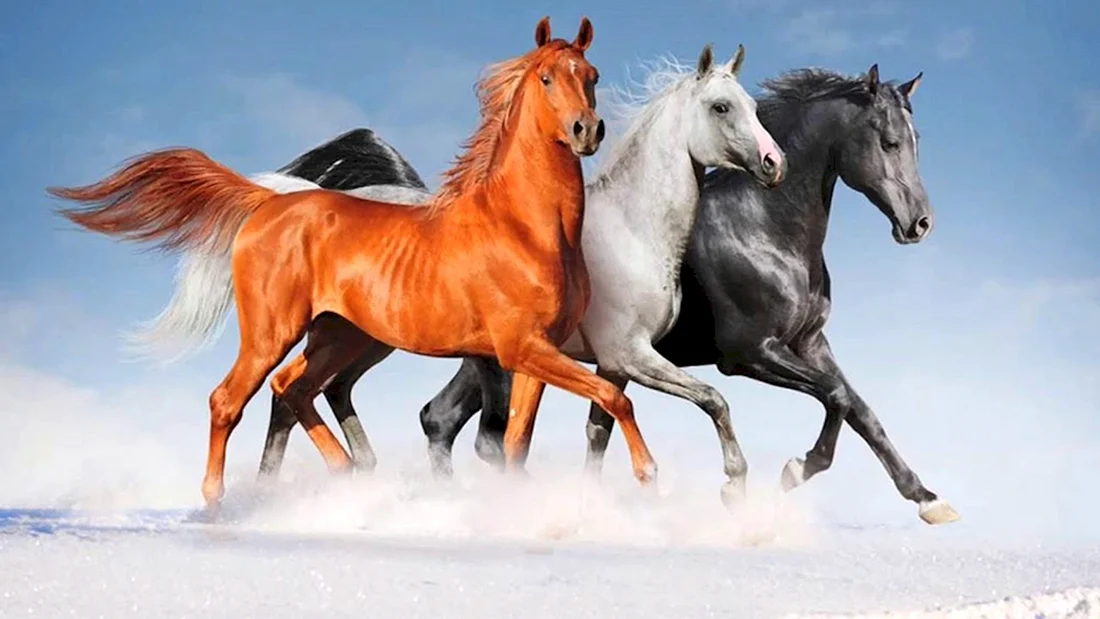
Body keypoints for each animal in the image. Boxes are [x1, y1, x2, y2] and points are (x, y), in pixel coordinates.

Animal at [47, 16, 654, 514]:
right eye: (547, 78)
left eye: (591, 73)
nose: (586, 131)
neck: (524, 227)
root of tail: (268, 202)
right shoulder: (518, 348)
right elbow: (614, 396)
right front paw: (649, 473)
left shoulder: (535, 355)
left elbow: (516, 445)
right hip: (273, 331)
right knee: (231, 399)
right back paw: (219, 503)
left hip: (339, 335)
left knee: (293, 389)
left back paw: (347, 475)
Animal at [252, 43, 788, 507]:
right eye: (721, 107)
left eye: (753, 106)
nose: (773, 164)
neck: (634, 228)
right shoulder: (630, 355)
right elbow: (712, 399)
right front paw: (733, 484)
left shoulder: (611, 365)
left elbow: (599, 429)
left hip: (370, 339)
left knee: (330, 394)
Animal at [293, 64, 959, 525]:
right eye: (888, 141)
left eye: (916, 139)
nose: (920, 224)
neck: (763, 225)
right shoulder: (748, 354)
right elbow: (834, 401)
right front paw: (793, 472)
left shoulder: (808, 343)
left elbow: (860, 408)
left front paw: (927, 498)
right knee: (457, 426)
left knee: (441, 421)